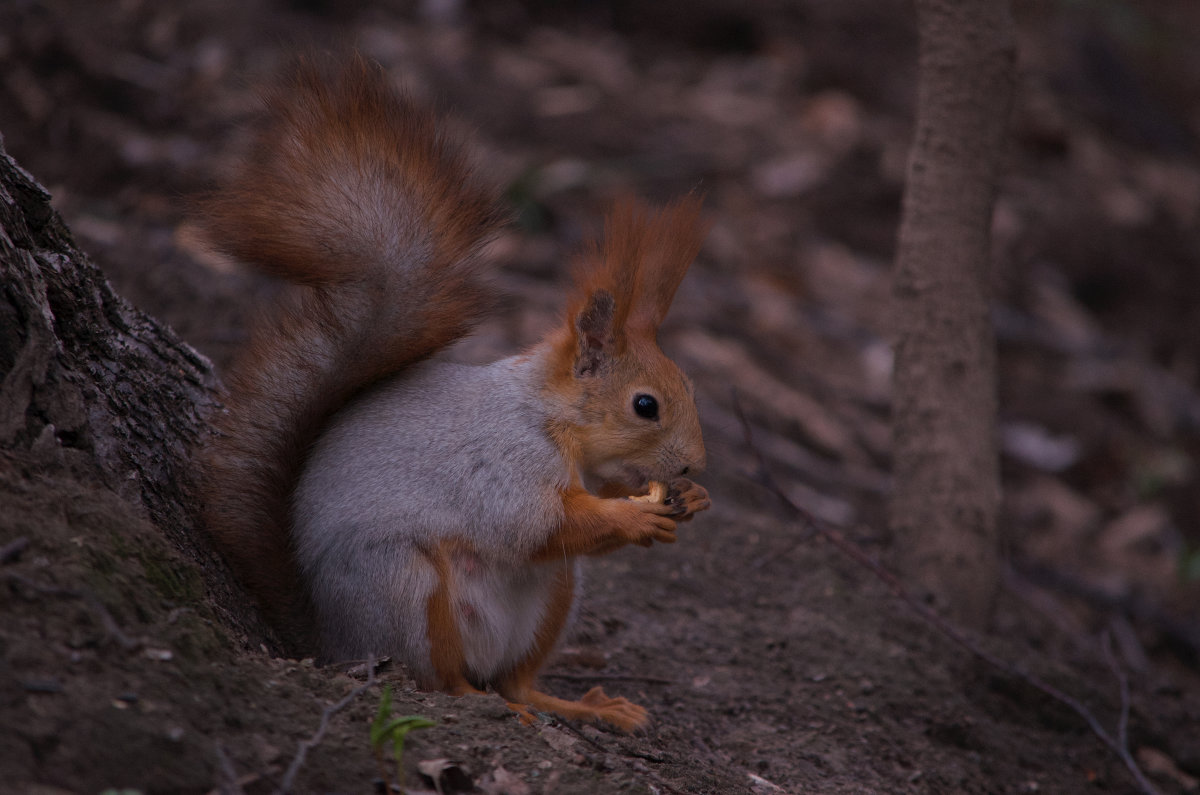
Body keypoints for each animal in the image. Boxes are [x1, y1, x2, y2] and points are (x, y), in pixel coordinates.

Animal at [192, 52, 705, 730]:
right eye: (646, 405)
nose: (696, 464)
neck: (547, 416)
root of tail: (332, 641)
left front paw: (689, 501)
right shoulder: (504, 460)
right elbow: (532, 524)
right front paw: (635, 515)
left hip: (556, 593)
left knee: (516, 679)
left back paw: (577, 705)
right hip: (405, 587)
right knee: (437, 679)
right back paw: (482, 703)